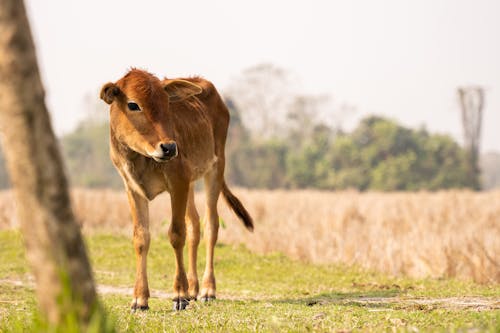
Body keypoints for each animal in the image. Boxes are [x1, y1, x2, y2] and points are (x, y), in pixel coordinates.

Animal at [100, 68, 254, 310]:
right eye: (133, 104)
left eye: (166, 103)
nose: (170, 147)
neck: (141, 158)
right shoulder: (132, 187)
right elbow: (141, 238)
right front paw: (140, 298)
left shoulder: (177, 181)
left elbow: (176, 234)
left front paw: (179, 294)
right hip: (190, 184)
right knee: (195, 224)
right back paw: (194, 288)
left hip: (215, 168)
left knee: (211, 225)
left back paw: (208, 289)